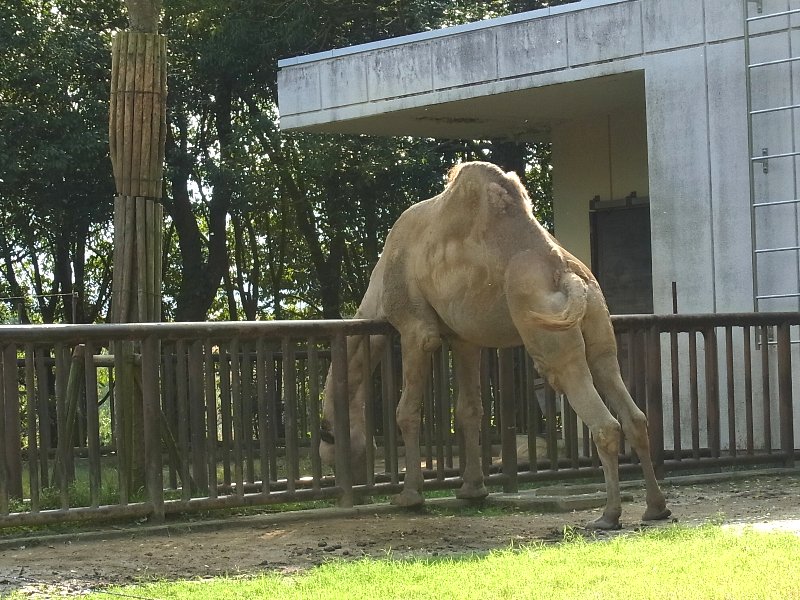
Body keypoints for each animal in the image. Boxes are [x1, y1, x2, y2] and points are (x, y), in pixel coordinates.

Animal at [322, 161, 672, 528]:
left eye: (326, 435)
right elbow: (469, 410)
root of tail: (569, 277)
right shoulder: (463, 337)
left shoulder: (416, 326)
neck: (379, 286)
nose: (341, 476)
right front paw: (472, 489)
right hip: (598, 323)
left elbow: (407, 410)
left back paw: (608, 515)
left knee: (599, 417)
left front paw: (409, 495)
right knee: (626, 401)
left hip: (547, 332)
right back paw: (655, 507)